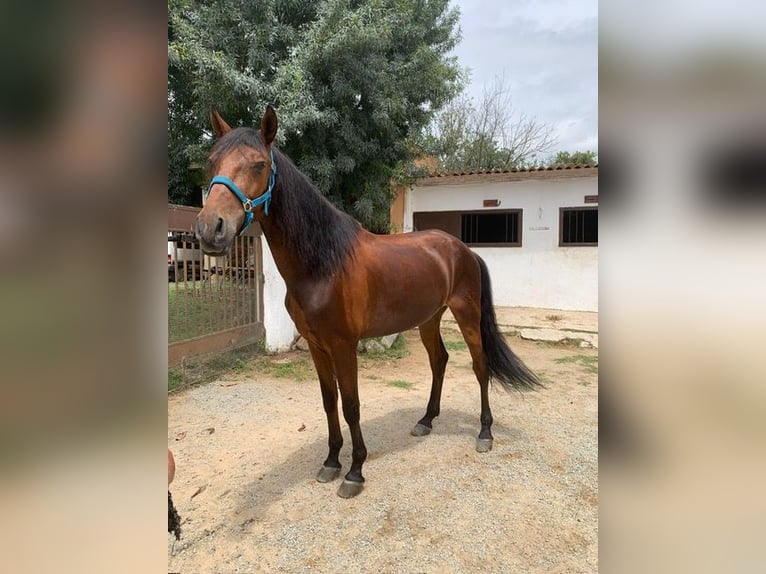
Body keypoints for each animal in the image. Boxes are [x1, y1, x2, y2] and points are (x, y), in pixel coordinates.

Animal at [195, 104, 544, 500]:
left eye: (258, 164)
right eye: (211, 161)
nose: (210, 229)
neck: (323, 263)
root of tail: (463, 250)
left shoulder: (343, 345)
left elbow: (351, 405)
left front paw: (355, 471)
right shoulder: (316, 345)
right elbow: (328, 402)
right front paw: (331, 461)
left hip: (466, 314)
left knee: (480, 366)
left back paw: (485, 433)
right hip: (429, 318)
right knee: (439, 361)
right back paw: (426, 420)